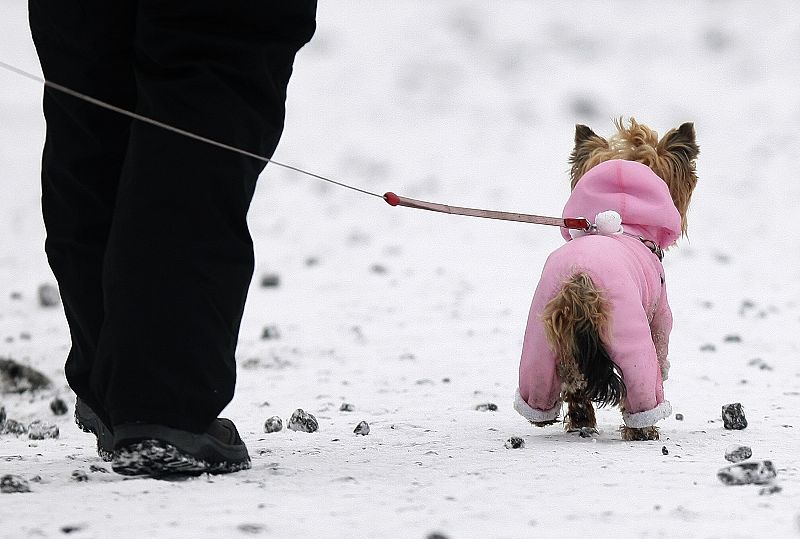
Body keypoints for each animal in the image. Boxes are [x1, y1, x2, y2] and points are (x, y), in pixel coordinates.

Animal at [516, 117, 696, 438]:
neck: (628, 225)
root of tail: (579, 282)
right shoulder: (659, 315)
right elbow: (662, 347)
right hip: (629, 334)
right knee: (642, 387)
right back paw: (644, 431)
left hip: (539, 339)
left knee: (555, 384)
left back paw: (571, 419)